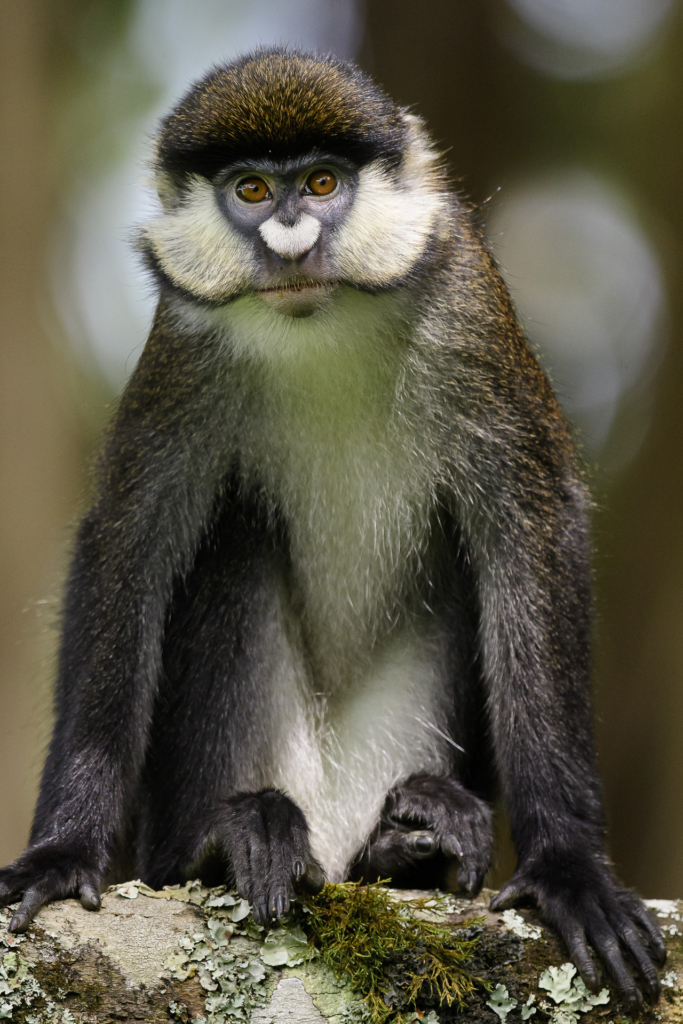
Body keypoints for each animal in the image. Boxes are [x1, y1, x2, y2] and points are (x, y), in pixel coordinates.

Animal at [0, 48, 663, 1007]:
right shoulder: (184, 352)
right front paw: (59, 854)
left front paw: (570, 868)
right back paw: (223, 849)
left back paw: (405, 847)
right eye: (249, 190)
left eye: (321, 182)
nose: (290, 241)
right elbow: (129, 541)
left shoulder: (470, 309)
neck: (325, 322)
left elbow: (530, 527)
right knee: (234, 537)